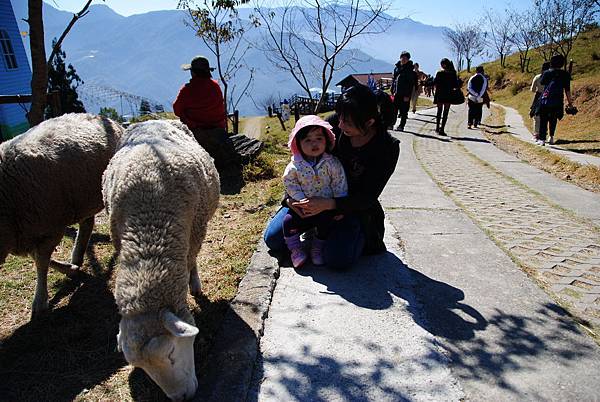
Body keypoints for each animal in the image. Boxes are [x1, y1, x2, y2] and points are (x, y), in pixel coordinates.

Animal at [0, 112, 122, 318]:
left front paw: (40, 300)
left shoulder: (51, 227)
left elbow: (41, 261)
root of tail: (103, 117)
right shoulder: (23, 232)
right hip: (80, 197)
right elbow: (38, 257)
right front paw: (69, 270)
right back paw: (77, 256)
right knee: (87, 224)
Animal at [102, 118, 220, 400]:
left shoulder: (194, 230)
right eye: (143, 368)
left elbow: (191, 261)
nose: (182, 398)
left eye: (171, 352)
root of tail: (151, 119)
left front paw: (194, 285)